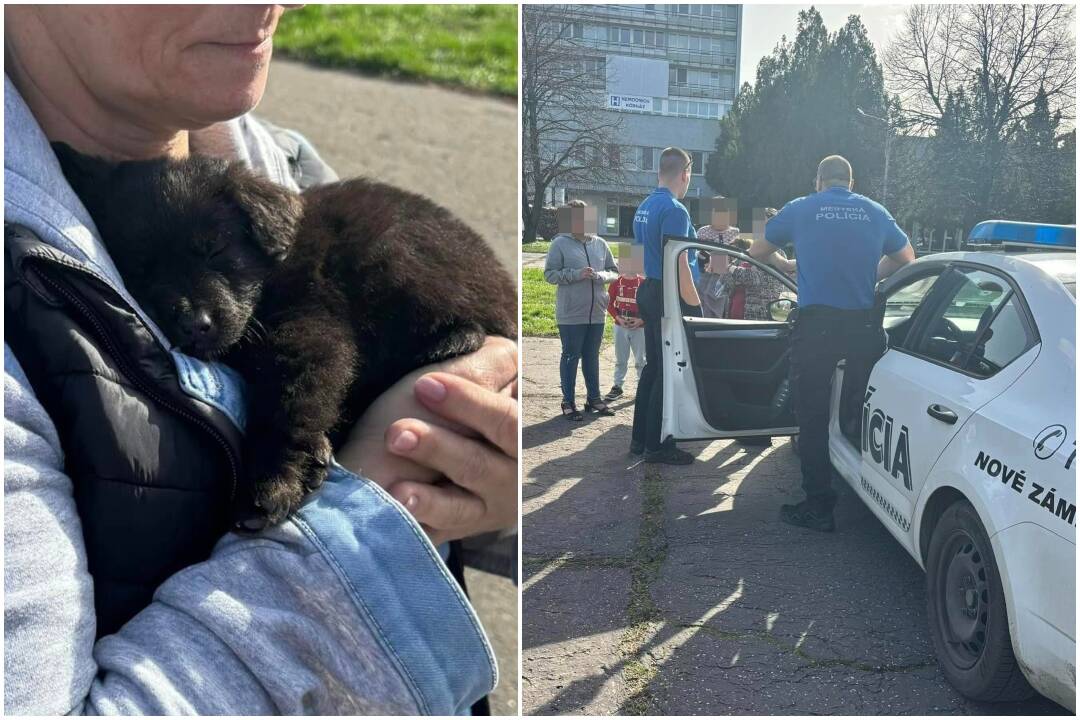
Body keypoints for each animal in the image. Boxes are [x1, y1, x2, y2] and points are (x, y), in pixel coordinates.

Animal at [54, 142, 518, 524]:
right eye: (139, 269)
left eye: (215, 249)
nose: (194, 324)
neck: (270, 276)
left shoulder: (307, 332)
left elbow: (290, 400)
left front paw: (272, 480)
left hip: (399, 257)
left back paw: (450, 340)